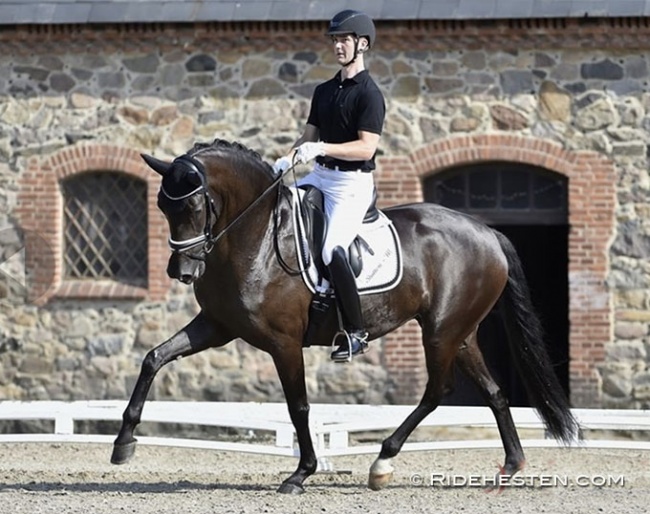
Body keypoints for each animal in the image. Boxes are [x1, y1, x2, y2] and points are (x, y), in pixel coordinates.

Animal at [109, 138, 576, 490]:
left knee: (437, 391)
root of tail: (488, 232)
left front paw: (301, 474)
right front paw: (123, 442)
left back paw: (383, 462)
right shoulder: (217, 326)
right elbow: (153, 358)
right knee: (493, 392)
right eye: (161, 206)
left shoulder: (283, 342)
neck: (254, 236)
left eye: (192, 207)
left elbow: (298, 406)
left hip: (441, 331)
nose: (182, 272)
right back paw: (511, 465)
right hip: (460, 333)